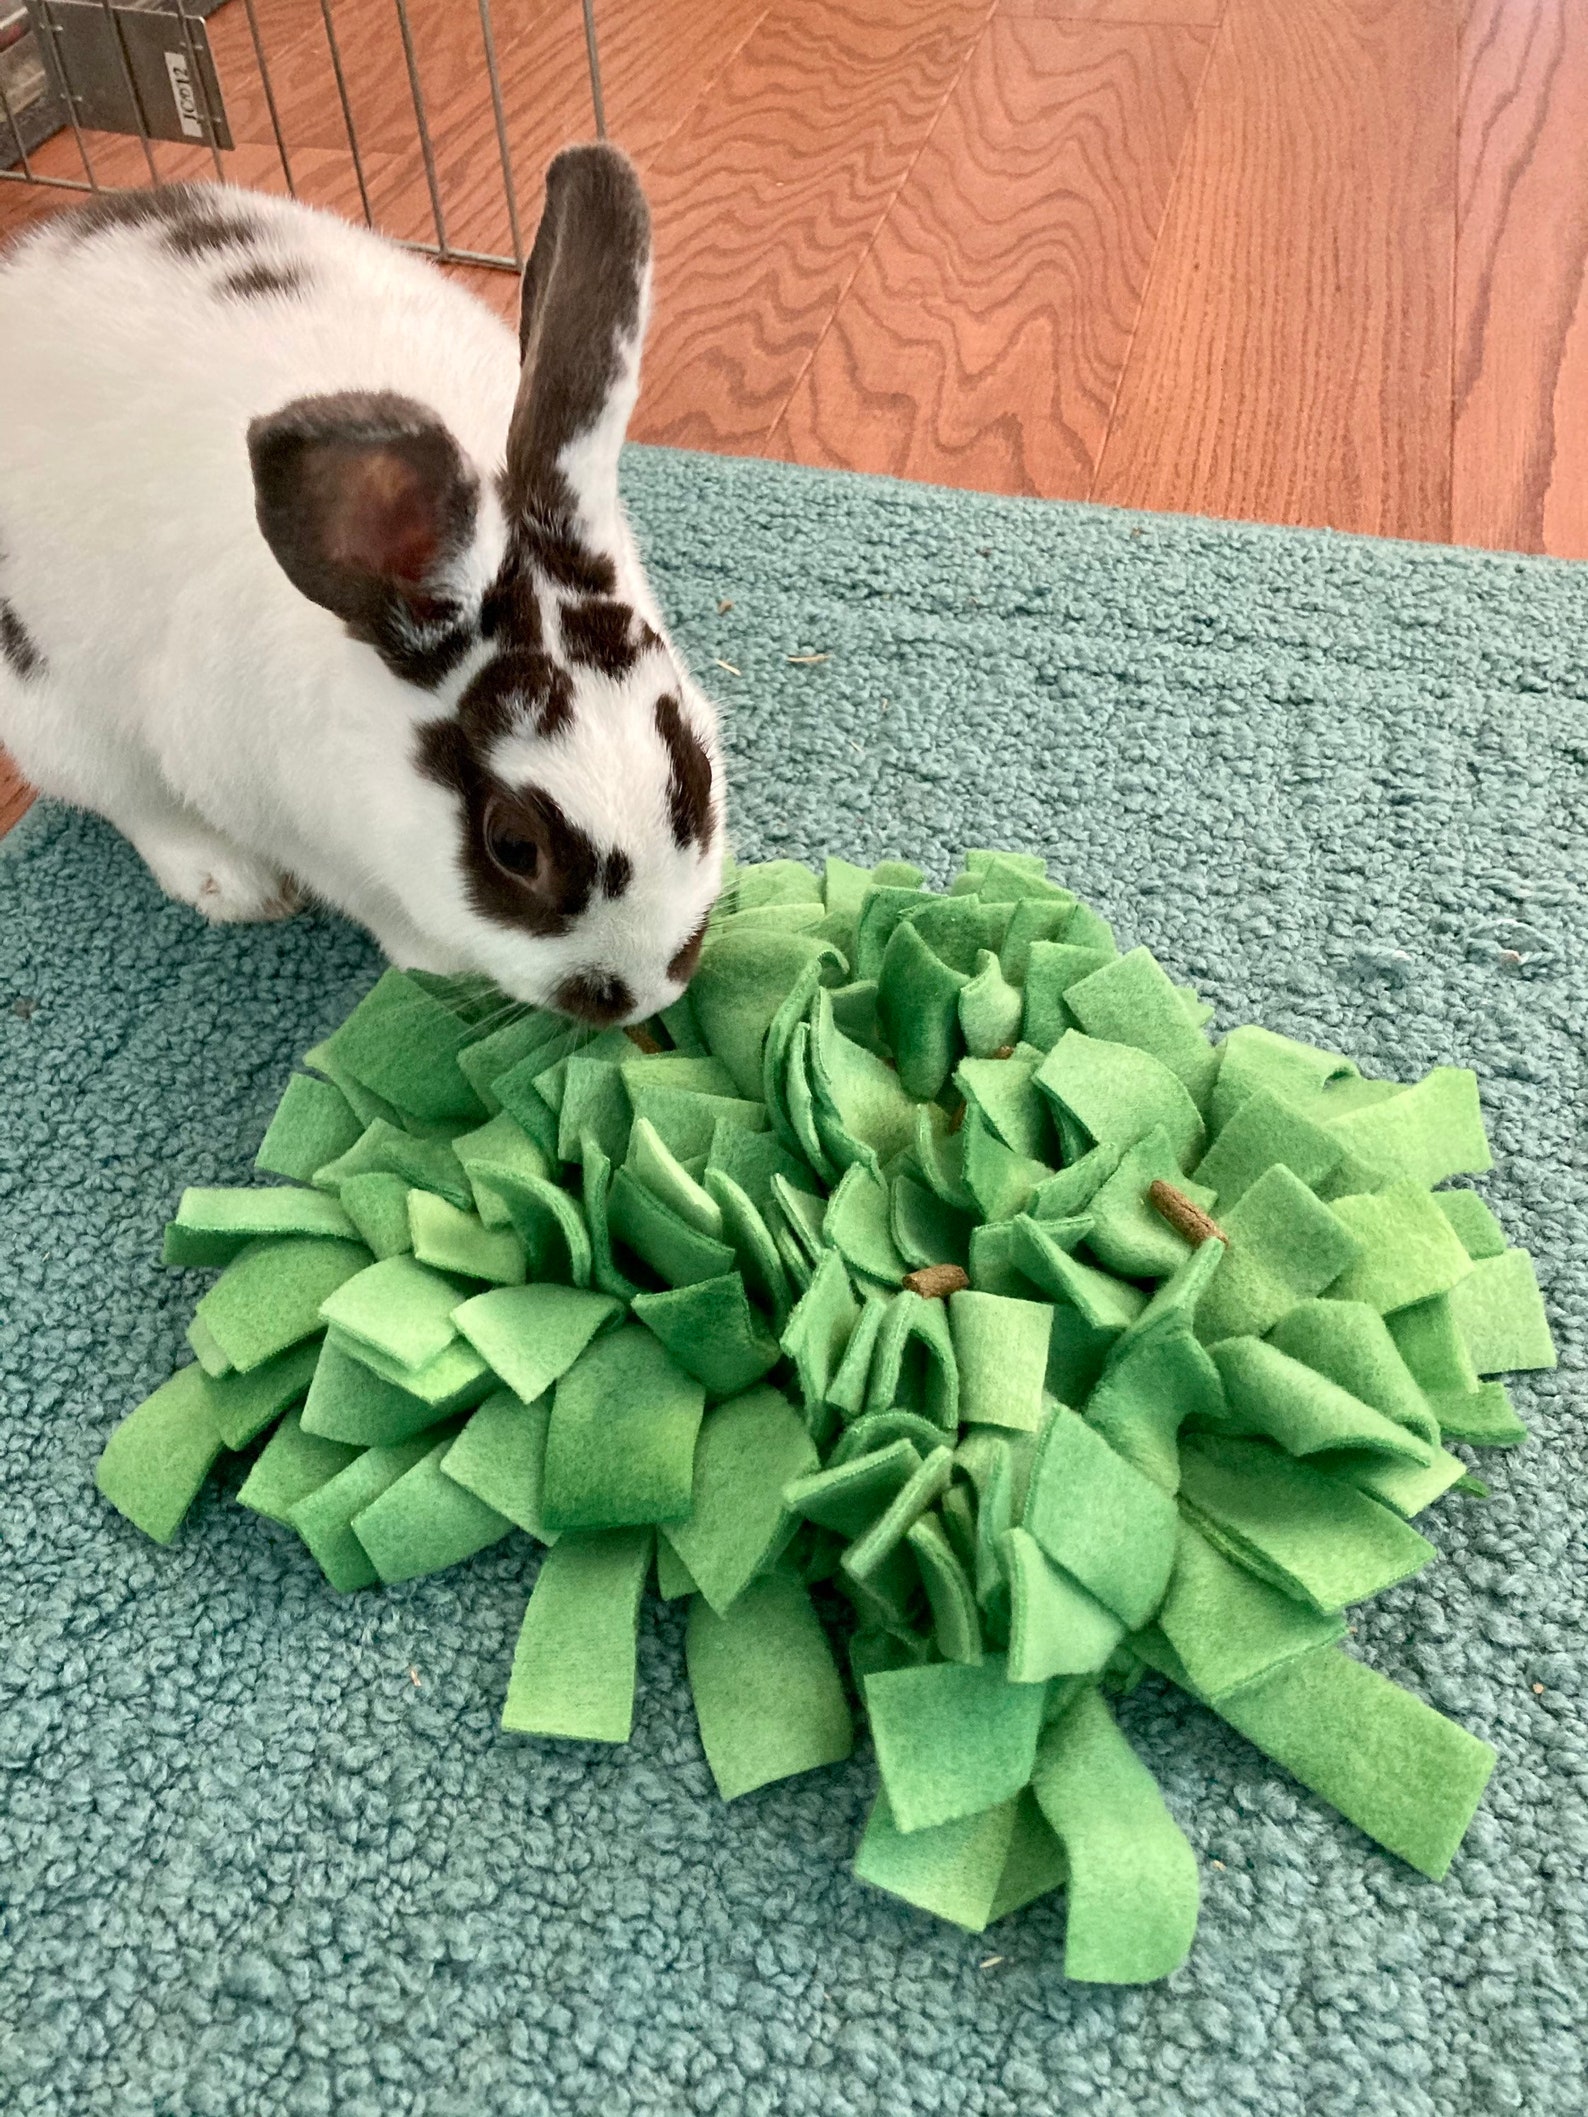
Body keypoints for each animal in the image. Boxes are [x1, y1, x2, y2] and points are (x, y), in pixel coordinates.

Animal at [0, 146, 724, 1025]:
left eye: (696, 767)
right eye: (513, 846)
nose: (646, 990)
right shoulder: (277, 814)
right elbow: (376, 906)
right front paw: (440, 969)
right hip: (53, 710)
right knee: (121, 797)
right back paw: (229, 883)